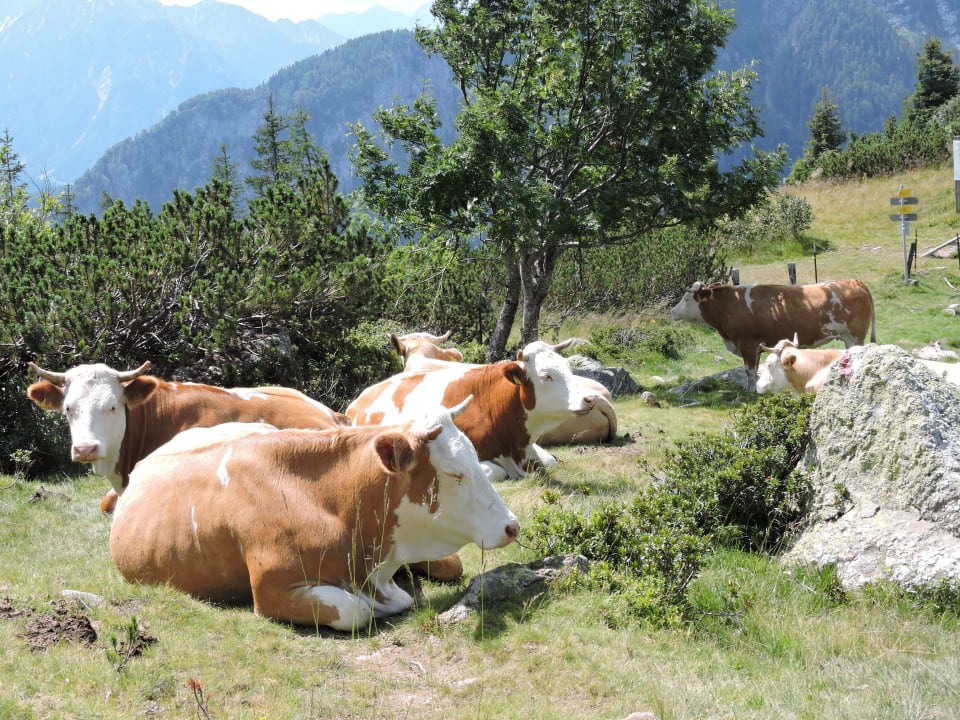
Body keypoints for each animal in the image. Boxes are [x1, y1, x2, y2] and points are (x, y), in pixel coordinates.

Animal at [670, 279, 876, 391]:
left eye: (686, 299)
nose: (672, 312)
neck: (730, 305)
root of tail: (853, 281)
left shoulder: (748, 345)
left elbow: (750, 371)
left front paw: (750, 391)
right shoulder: (755, 348)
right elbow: (753, 370)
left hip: (854, 337)